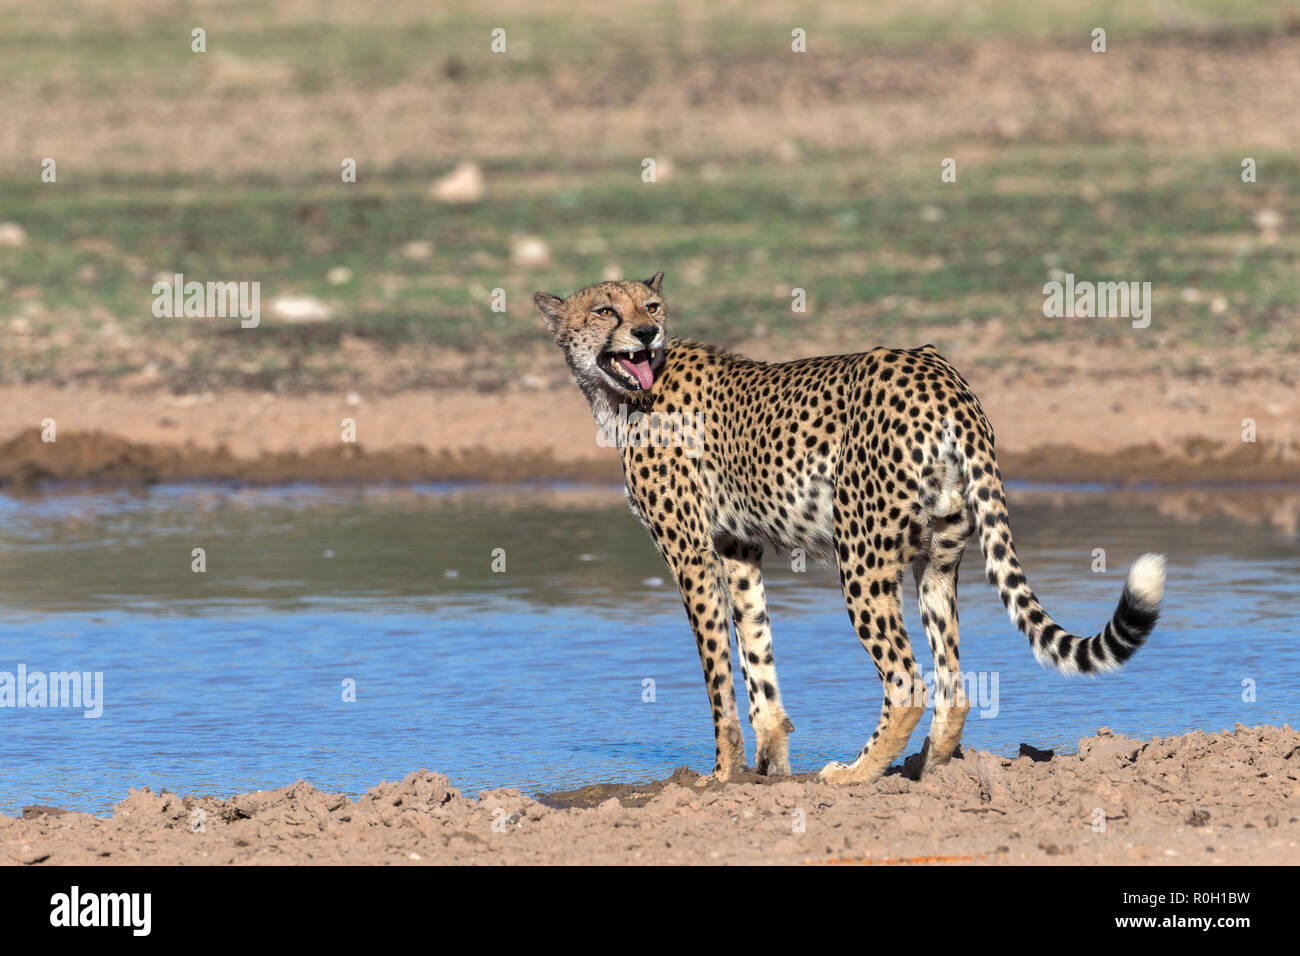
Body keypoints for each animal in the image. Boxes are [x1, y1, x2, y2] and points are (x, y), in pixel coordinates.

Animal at [533, 274, 1164, 785]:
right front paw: (770, 765)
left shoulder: (690, 554)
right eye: (604, 310)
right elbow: (757, 652)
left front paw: (720, 774)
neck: (626, 392)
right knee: (954, 685)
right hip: (937, 559)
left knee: (907, 682)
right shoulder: (737, 548)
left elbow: (718, 672)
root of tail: (938, 372)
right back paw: (929, 770)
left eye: (651, 305)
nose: (646, 333)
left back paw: (855, 774)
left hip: (861, 557)